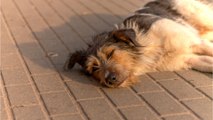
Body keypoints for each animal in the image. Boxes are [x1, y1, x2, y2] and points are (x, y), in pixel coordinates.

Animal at [63, 0, 213, 88]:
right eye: (94, 68)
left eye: (110, 53)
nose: (109, 80)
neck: (150, 48)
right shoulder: (188, 59)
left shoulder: (197, 43)